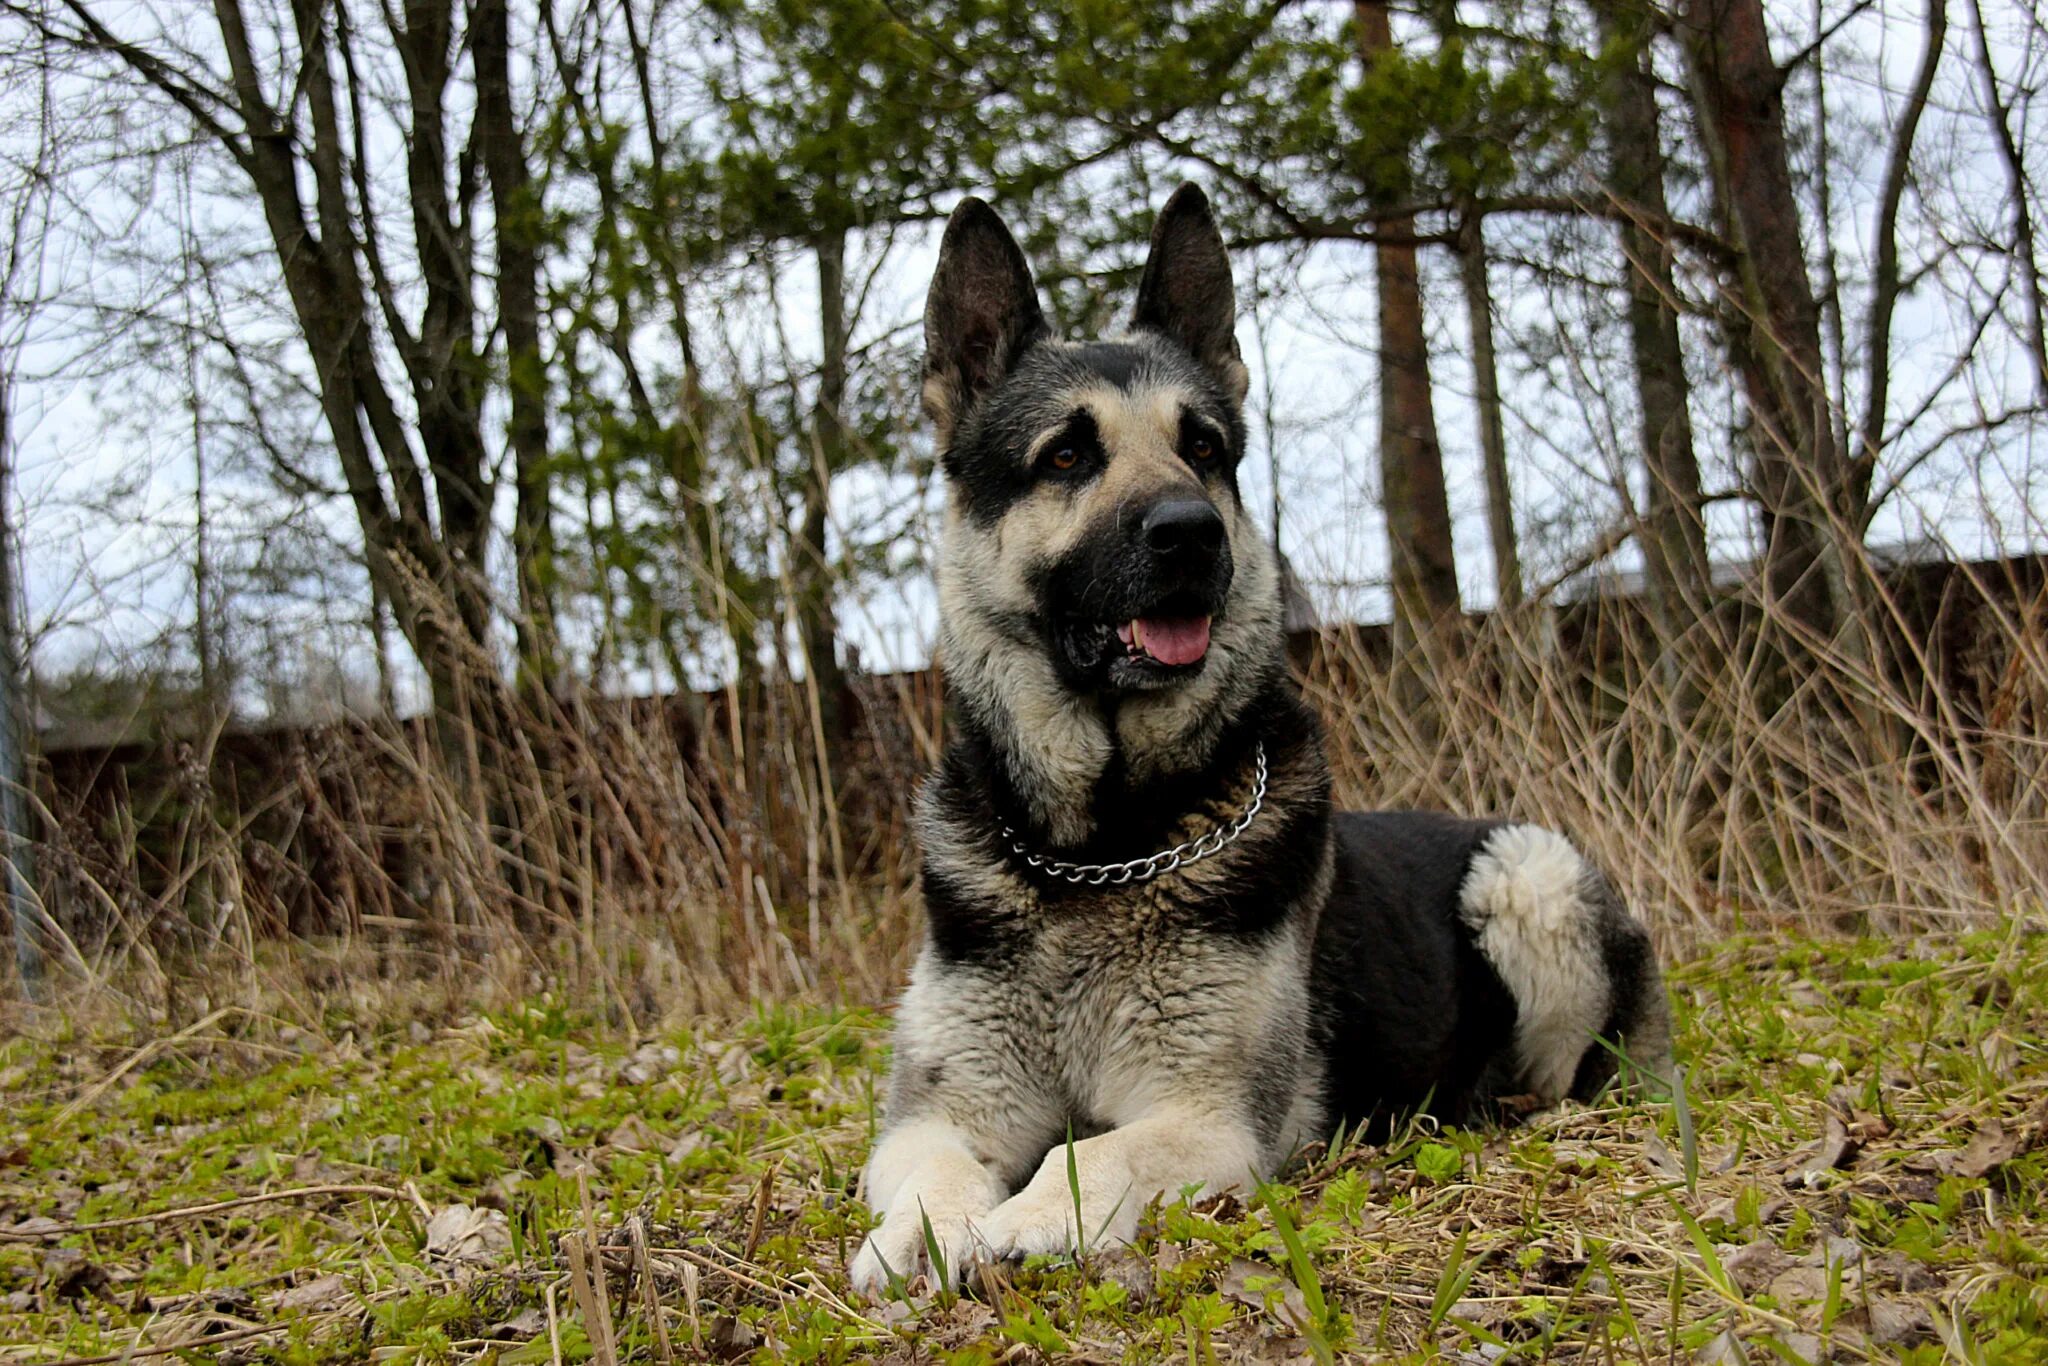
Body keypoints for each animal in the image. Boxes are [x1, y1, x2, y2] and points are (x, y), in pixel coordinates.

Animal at [847, 187, 1662, 1302]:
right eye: (1066, 455)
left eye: (1202, 447)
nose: (1191, 531)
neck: (1096, 854)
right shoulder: (939, 1111)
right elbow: (936, 1172)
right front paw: (920, 1237)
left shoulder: (1208, 1117)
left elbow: (1087, 1152)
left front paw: (1025, 1223)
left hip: (1526, 873)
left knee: (1561, 1072)